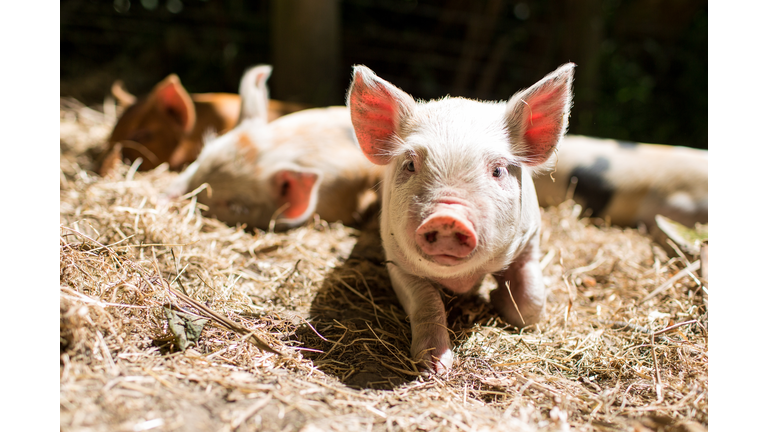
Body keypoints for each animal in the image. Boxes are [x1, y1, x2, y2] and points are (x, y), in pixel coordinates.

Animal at [347, 63, 575, 373]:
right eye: (410, 164)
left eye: (498, 170)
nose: (447, 217)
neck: (462, 280)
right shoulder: (396, 260)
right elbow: (427, 303)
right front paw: (434, 368)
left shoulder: (530, 241)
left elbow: (531, 304)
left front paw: (497, 299)